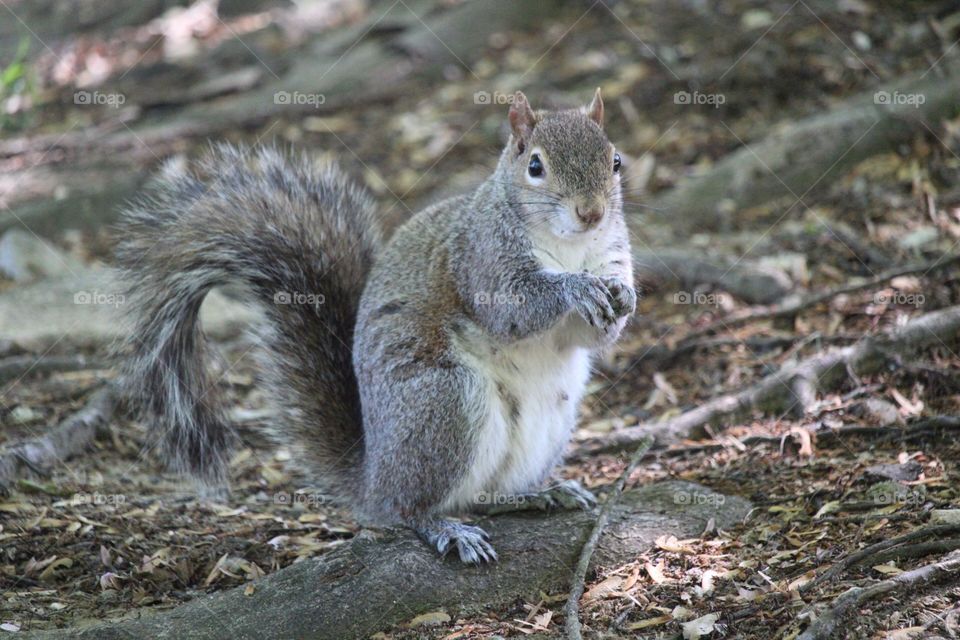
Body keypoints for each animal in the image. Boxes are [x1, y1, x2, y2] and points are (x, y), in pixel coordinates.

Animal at [114, 89, 635, 563]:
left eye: (615, 161)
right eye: (535, 166)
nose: (591, 212)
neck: (568, 246)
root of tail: (372, 480)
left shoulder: (609, 254)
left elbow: (592, 333)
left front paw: (624, 297)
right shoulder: (482, 260)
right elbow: (516, 309)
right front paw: (575, 289)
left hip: (552, 417)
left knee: (486, 498)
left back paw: (540, 493)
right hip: (443, 401)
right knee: (412, 508)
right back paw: (447, 530)